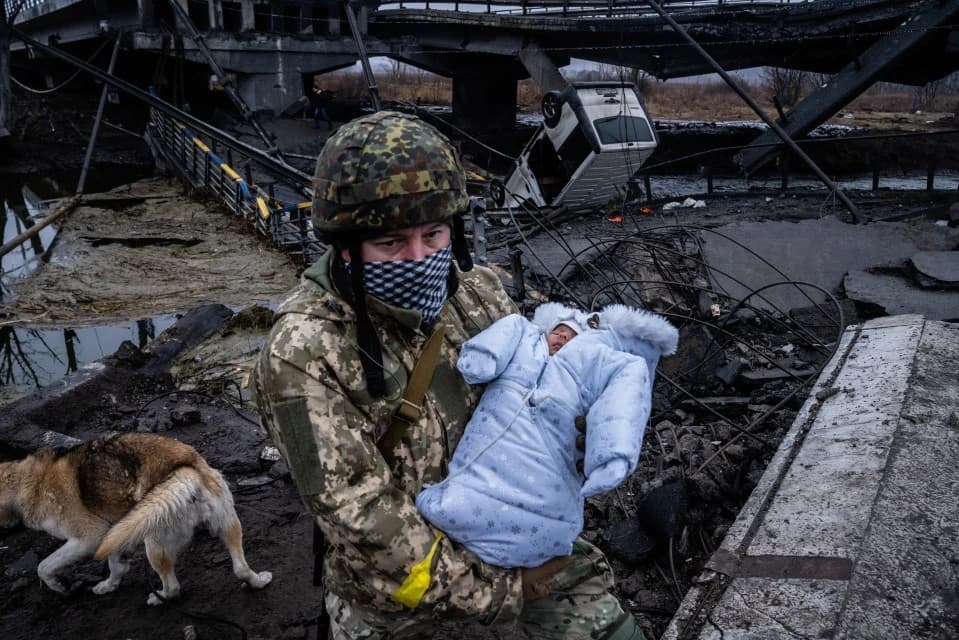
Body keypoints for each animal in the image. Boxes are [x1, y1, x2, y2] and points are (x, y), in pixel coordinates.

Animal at [0, 432, 272, 604]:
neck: (29, 481)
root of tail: (184, 469)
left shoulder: (89, 537)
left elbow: (43, 566)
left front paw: (58, 587)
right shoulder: (114, 530)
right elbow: (115, 563)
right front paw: (110, 584)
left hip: (154, 544)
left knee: (173, 587)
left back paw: (159, 598)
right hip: (228, 524)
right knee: (240, 568)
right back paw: (258, 581)